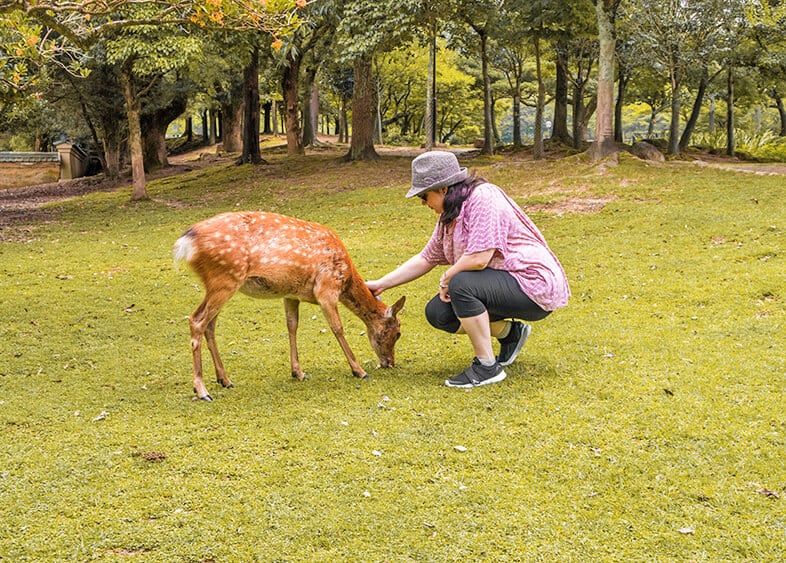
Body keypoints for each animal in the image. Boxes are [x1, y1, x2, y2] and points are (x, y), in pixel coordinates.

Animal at [172, 210, 404, 400]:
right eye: (398, 333)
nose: (390, 362)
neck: (346, 279)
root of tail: (186, 242)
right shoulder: (326, 289)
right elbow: (337, 328)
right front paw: (359, 371)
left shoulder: (291, 294)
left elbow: (292, 326)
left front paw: (298, 372)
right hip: (225, 278)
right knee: (196, 320)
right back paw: (201, 390)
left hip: (219, 283)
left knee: (209, 325)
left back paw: (225, 380)